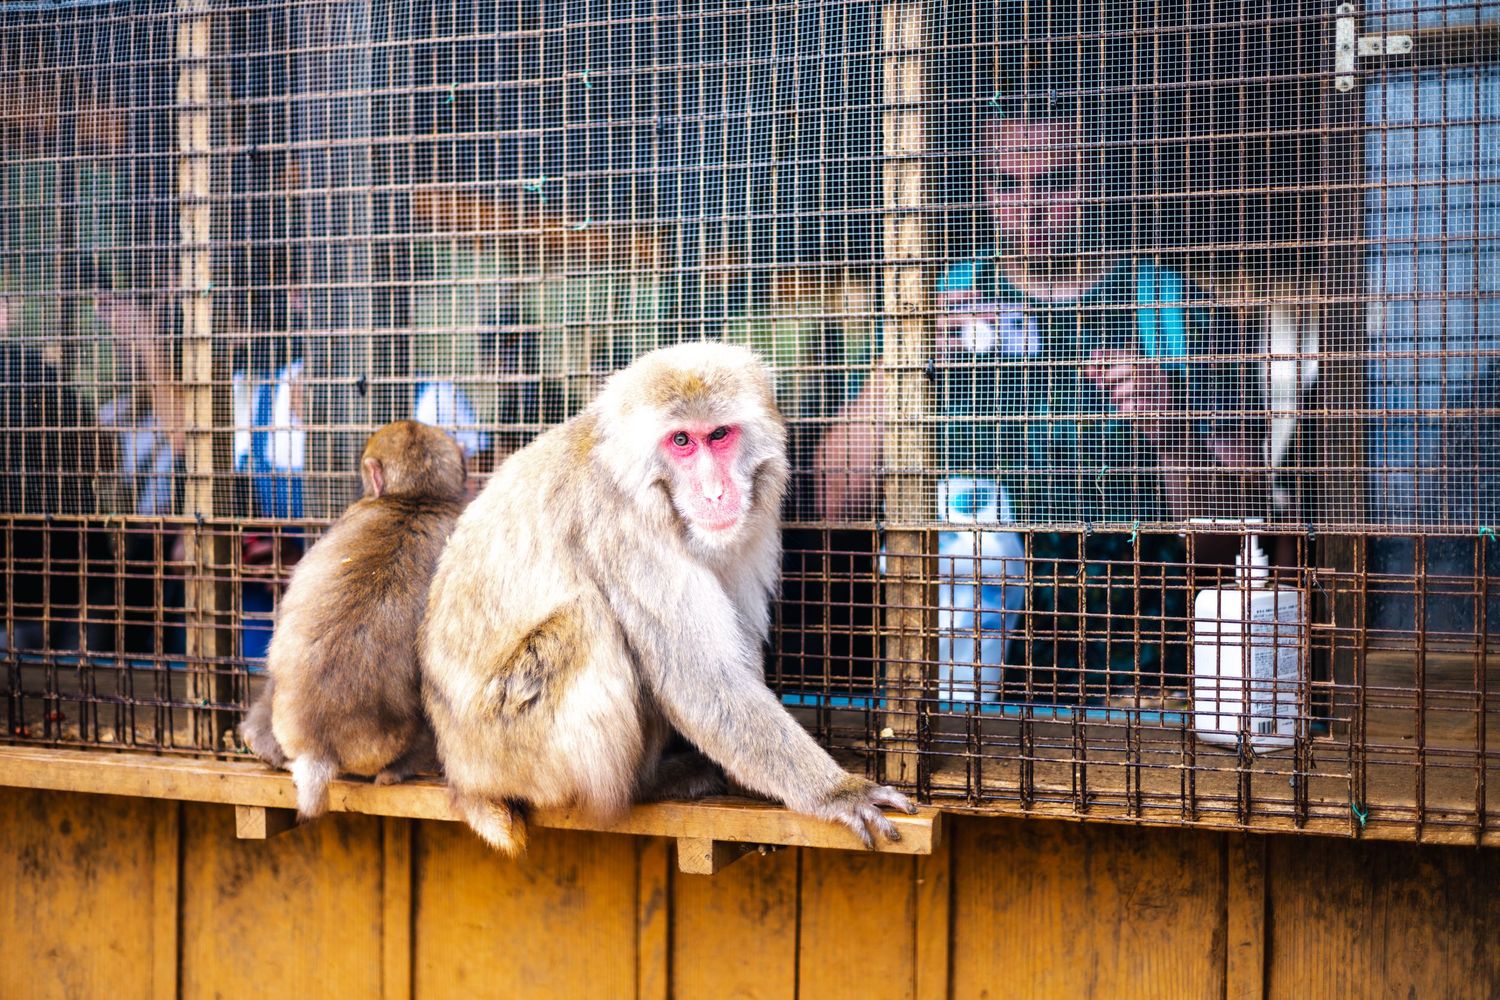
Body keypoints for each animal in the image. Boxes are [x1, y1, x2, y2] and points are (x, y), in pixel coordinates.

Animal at [420, 341, 915, 856]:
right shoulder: (623, 526)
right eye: (681, 441)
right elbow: (701, 681)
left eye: (718, 435)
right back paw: (644, 785)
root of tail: (463, 773)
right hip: (514, 748)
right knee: (588, 620)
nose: (715, 493)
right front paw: (837, 792)